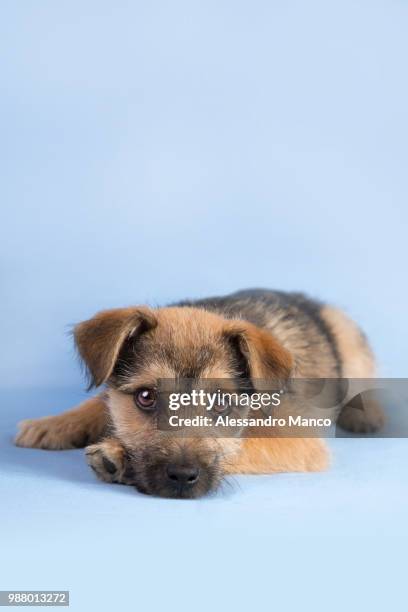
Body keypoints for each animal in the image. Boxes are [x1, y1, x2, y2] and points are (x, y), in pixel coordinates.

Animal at [13, 288, 382, 498]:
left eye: (220, 402)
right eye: (146, 397)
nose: (181, 477)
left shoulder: (298, 439)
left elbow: (245, 446)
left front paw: (117, 456)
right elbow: (100, 400)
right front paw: (56, 423)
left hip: (348, 342)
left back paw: (367, 413)